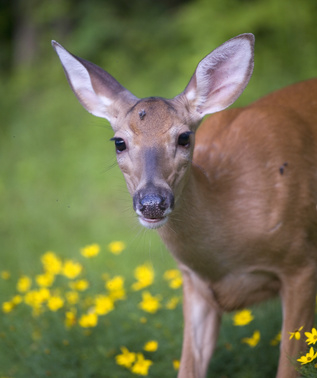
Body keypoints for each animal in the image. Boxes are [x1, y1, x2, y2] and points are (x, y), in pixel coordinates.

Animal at [51, 33, 316, 378]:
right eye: (119, 142)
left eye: (184, 137)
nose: (152, 202)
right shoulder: (194, 283)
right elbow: (189, 367)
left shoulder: (301, 264)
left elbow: (288, 366)